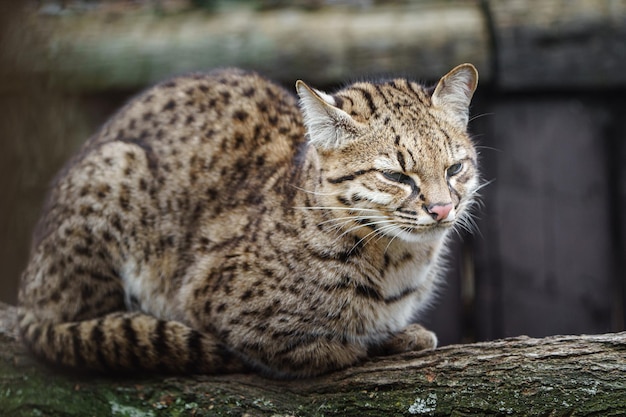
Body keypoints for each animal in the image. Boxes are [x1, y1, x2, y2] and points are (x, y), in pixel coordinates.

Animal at [18, 62, 478, 376]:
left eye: (455, 168)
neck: (399, 263)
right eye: (396, 176)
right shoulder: (210, 296)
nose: (442, 209)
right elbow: (314, 347)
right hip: (114, 170)